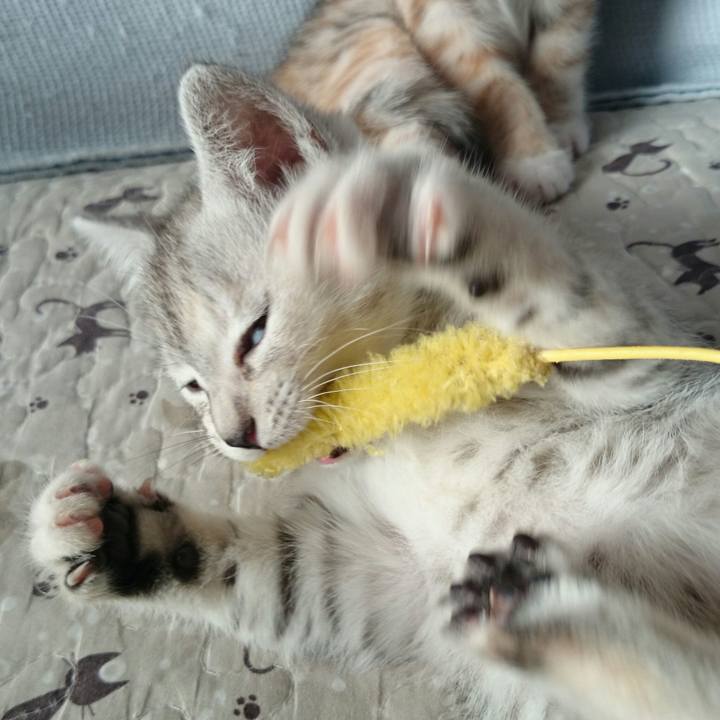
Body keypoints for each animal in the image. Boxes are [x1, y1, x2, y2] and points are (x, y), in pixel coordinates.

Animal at [30, 65, 720, 720]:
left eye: (255, 334)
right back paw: (532, 612)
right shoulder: (395, 582)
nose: (235, 437)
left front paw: (411, 207)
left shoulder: (652, 348)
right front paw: (106, 534)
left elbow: (576, 306)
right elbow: (265, 573)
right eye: (192, 386)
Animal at [274, 0, 596, 202]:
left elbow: (559, 59)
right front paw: (533, 159)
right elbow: (498, 86)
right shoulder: (441, 16)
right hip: (376, 37)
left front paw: (561, 124)